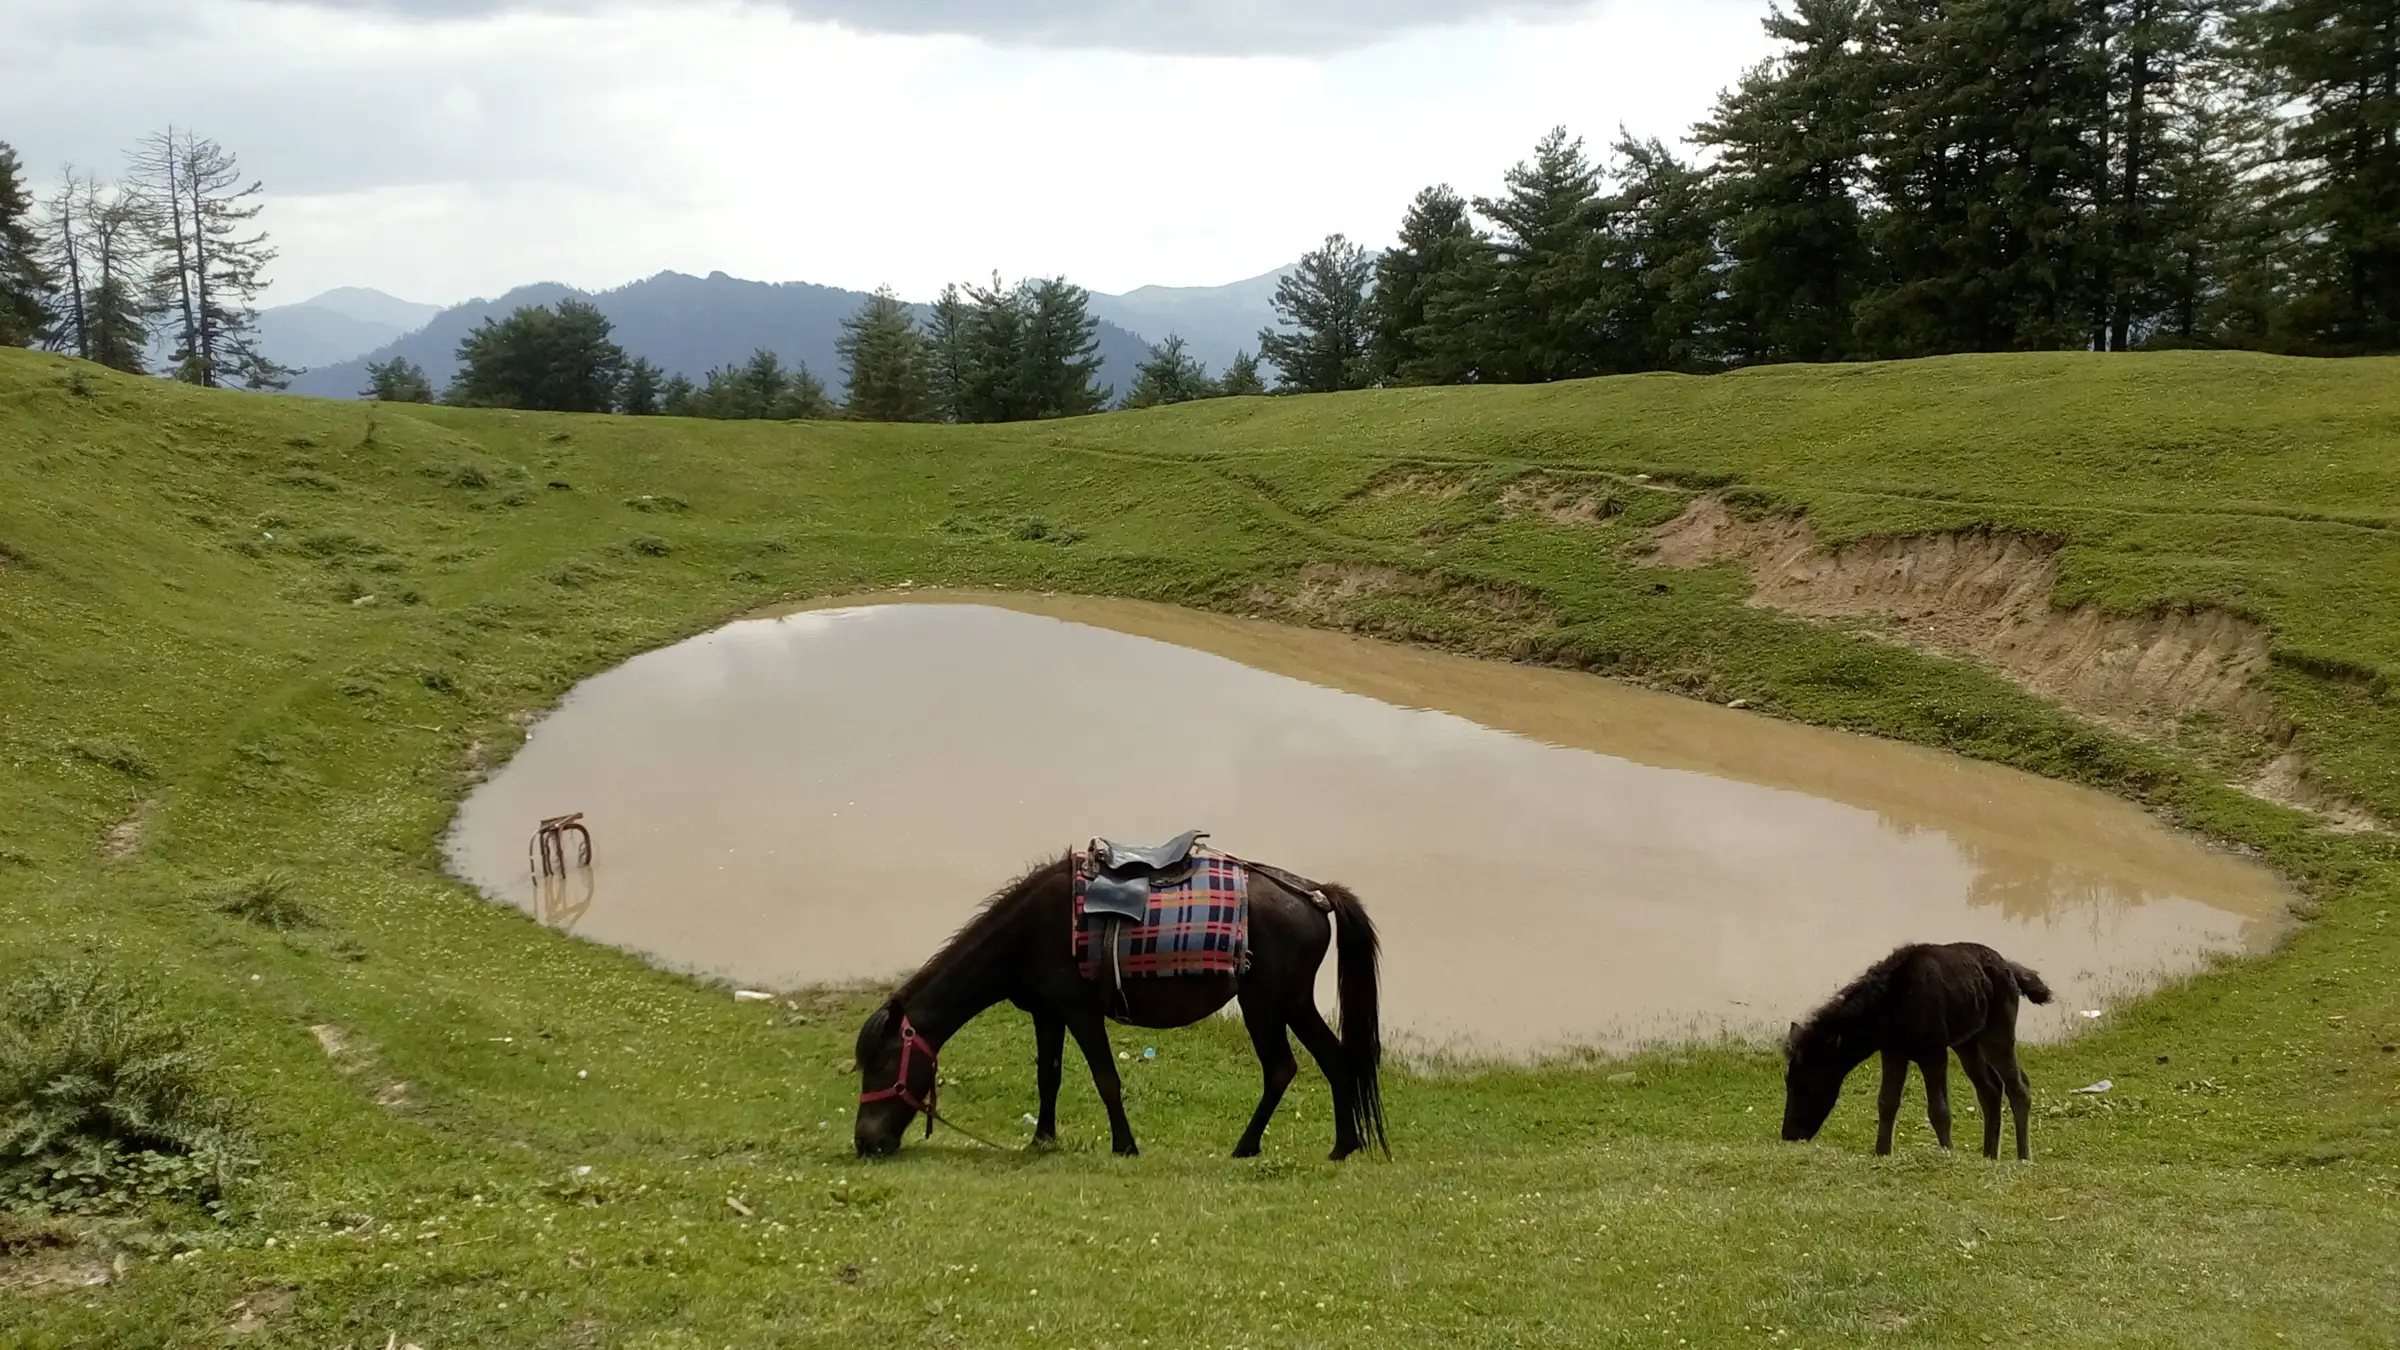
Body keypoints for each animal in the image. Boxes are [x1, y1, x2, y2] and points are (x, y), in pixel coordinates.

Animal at [853, 854, 1386, 1161]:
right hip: (1294, 1001)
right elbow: (1048, 1076)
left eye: (882, 1065)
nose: (864, 1142)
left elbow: (1105, 1078)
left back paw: (1245, 1146)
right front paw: (1041, 1140)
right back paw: (1342, 1147)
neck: (1028, 933)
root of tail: (1316, 895)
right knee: (1335, 1061)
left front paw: (1124, 1145)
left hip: (1264, 1004)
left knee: (1280, 1069)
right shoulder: (1047, 1013)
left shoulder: (1080, 1012)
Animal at [1781, 942, 2053, 1161]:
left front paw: (1947, 1153)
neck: (1889, 1011)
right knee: (1991, 1089)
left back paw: (2023, 1157)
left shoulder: (1934, 1053)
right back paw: (1989, 1156)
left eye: (1810, 1084)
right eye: (1788, 1081)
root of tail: (2010, 969)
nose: (1789, 1134)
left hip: (1997, 1033)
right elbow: (1887, 1102)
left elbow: (1939, 1110)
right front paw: (1881, 1153)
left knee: (2018, 1087)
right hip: (1967, 1043)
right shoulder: (1894, 1053)